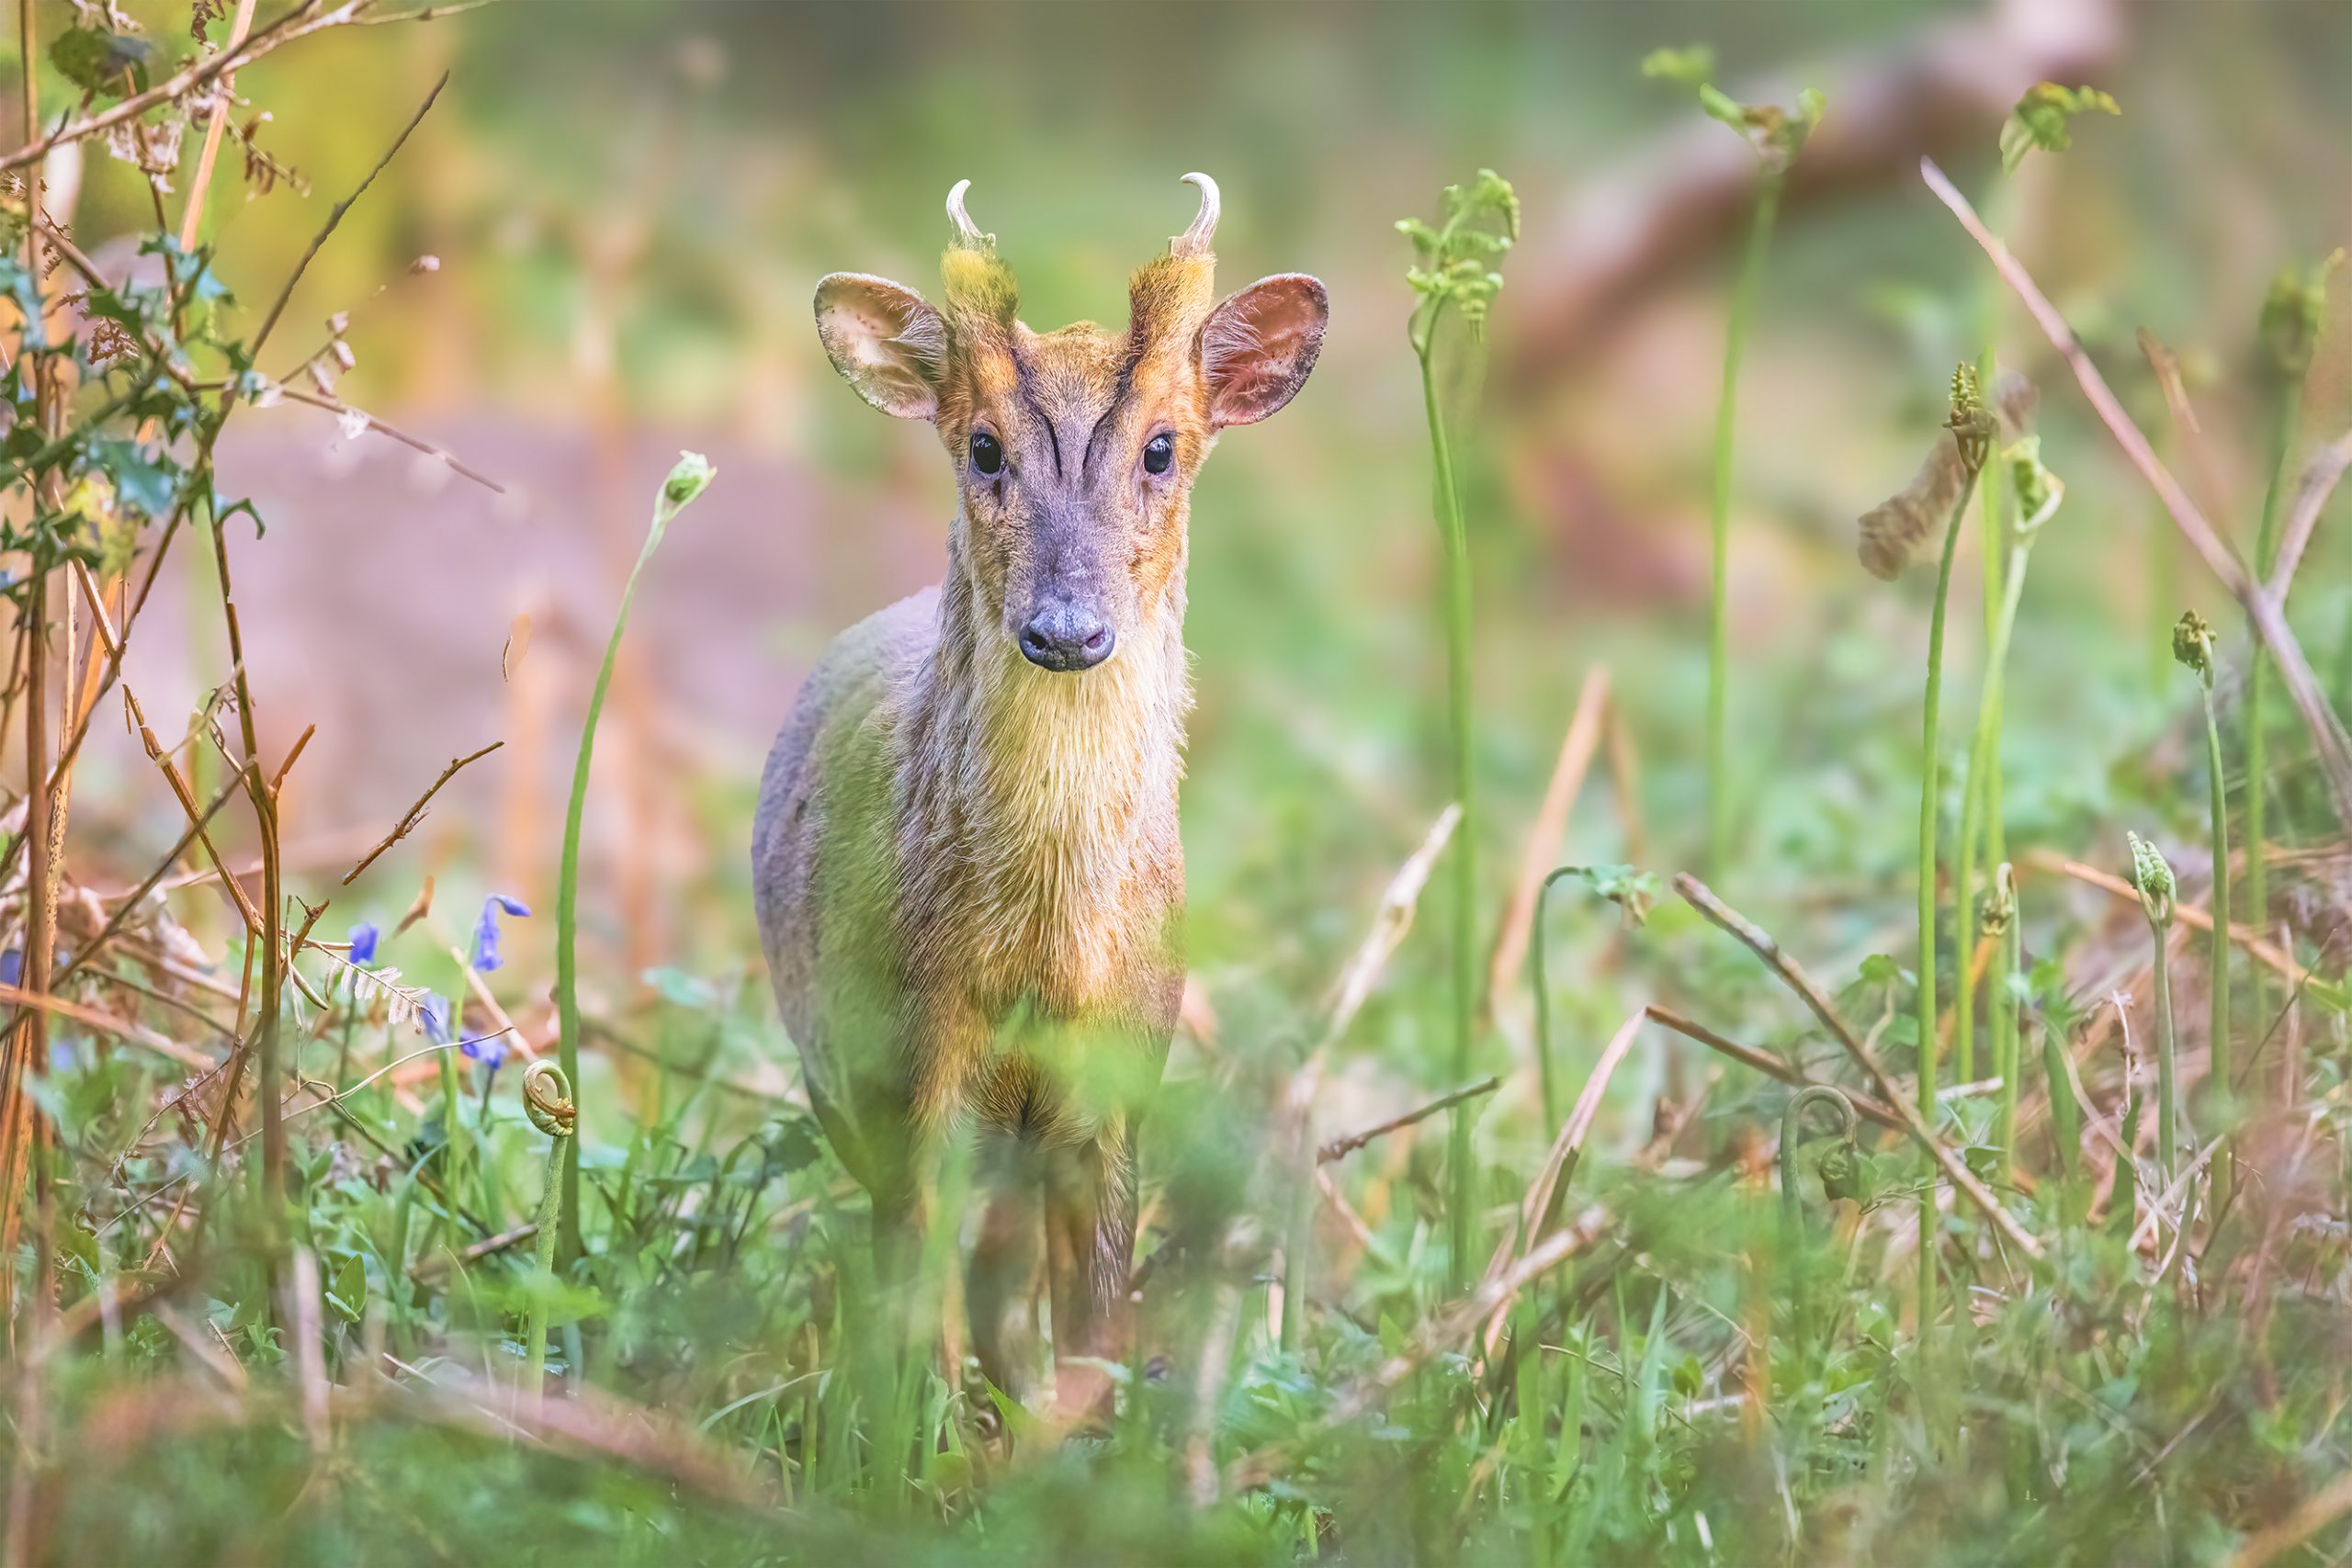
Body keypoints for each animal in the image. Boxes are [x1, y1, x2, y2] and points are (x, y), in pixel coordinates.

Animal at [752, 175, 1327, 1424]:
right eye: (983, 445)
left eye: (1162, 447)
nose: (1066, 627)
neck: (1040, 948)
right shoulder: (912, 1061)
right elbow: (918, 1310)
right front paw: (919, 1441)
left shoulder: (1118, 1074)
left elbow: (1095, 1325)